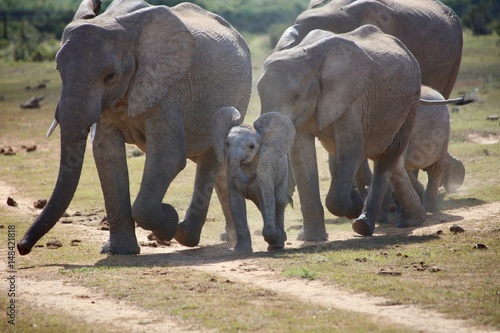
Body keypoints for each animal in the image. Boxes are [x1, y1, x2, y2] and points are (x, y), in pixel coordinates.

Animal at [17, 0, 252, 254]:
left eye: (110, 76)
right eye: (58, 70)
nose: (22, 246)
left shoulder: (166, 86)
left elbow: (168, 156)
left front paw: (168, 220)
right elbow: (107, 156)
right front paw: (119, 251)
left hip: (238, 96)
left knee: (209, 160)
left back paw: (185, 234)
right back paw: (226, 237)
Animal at [212, 107, 296, 253]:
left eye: (252, 147)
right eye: (227, 144)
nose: (254, 175)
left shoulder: (265, 170)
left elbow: (268, 197)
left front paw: (275, 242)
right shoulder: (230, 173)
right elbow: (235, 203)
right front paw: (241, 251)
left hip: (285, 171)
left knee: (279, 201)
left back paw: (280, 240)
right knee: (262, 205)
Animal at [258, 26, 426, 239]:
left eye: (296, 97)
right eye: (258, 93)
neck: (307, 56)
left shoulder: (350, 98)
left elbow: (351, 152)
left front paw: (354, 204)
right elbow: (302, 159)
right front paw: (310, 239)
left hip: (410, 104)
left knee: (385, 158)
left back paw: (363, 225)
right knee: (392, 161)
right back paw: (414, 220)